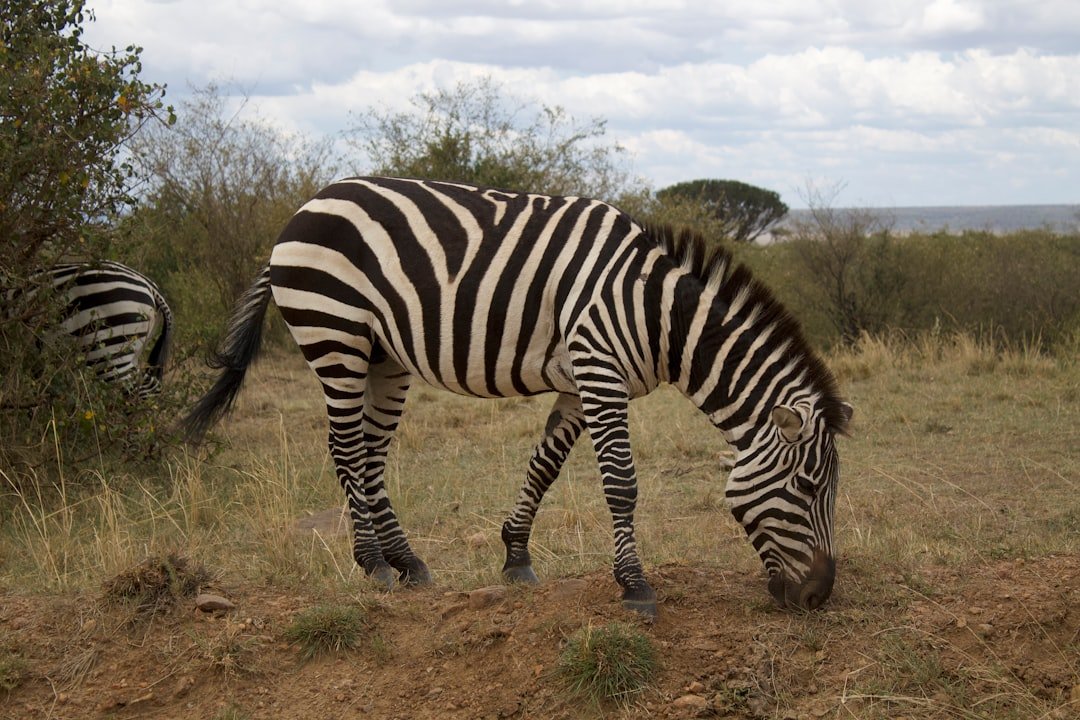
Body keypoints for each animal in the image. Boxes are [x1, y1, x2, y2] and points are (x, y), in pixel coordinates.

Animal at [183, 176, 852, 616]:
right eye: (808, 488)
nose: (819, 597)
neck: (655, 312)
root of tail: (304, 209)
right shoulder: (600, 370)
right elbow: (621, 483)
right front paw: (634, 585)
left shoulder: (580, 384)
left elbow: (544, 467)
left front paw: (515, 555)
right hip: (334, 333)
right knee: (346, 449)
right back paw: (372, 563)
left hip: (383, 355)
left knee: (370, 455)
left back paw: (407, 562)